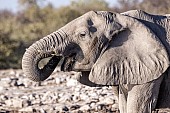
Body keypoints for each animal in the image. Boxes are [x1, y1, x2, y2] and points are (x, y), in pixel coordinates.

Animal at [21, 9, 170, 113]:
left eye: (82, 35)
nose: (55, 56)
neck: (121, 18)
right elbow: (124, 105)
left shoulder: (152, 68)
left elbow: (138, 107)